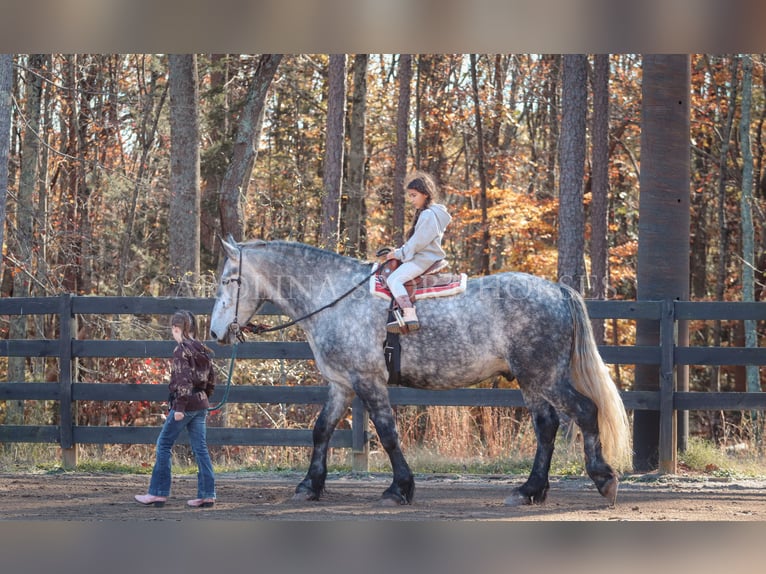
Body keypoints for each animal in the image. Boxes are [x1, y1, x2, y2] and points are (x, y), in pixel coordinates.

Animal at [208, 238, 632, 508]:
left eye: (230, 280)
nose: (215, 332)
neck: (336, 298)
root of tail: (557, 291)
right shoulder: (342, 384)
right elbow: (321, 430)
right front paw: (309, 486)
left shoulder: (368, 381)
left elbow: (387, 433)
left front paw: (399, 488)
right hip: (531, 381)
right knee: (546, 426)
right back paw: (529, 490)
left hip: (544, 377)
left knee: (584, 411)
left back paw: (603, 480)